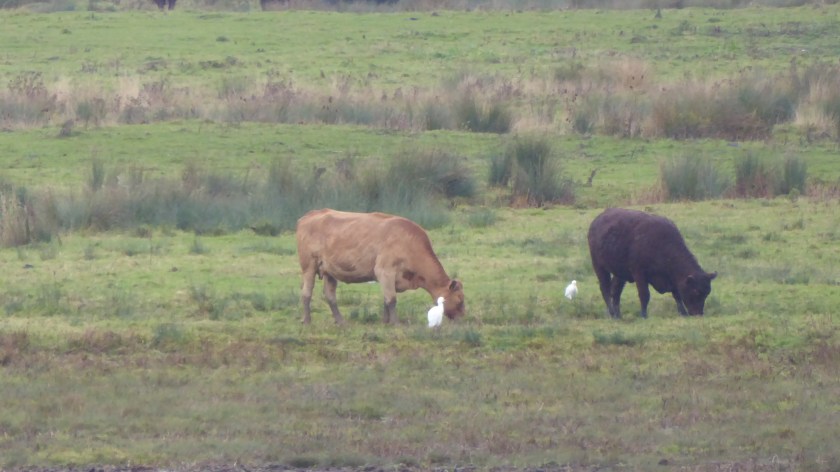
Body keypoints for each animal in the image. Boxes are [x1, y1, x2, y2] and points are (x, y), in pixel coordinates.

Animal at [295, 209, 466, 325]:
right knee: (306, 293)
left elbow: (386, 299)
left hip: (330, 271)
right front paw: (395, 323)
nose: (462, 317)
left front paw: (385, 321)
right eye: (460, 299)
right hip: (309, 266)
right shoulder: (385, 271)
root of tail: (312, 214)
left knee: (330, 296)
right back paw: (307, 320)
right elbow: (392, 299)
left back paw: (341, 321)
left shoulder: (390, 277)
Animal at [587, 208, 717, 319]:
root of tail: (596, 221)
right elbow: (644, 295)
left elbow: (677, 295)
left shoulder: (673, 279)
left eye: (707, 293)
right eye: (695, 291)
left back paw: (618, 315)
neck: (661, 244)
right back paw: (612, 313)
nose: (698, 313)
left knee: (615, 291)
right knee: (605, 289)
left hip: (620, 274)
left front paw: (683, 313)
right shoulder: (639, 274)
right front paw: (644, 315)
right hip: (599, 267)